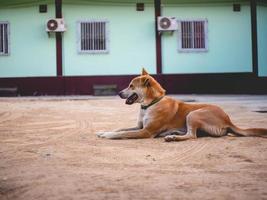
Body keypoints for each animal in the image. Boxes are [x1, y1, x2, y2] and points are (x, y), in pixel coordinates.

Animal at [97, 69, 267, 142]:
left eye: (131, 86)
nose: (119, 93)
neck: (151, 104)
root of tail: (228, 120)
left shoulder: (146, 131)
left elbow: (122, 133)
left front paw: (108, 135)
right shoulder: (139, 127)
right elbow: (121, 128)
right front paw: (103, 131)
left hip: (194, 114)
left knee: (192, 135)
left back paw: (173, 137)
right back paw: (174, 134)